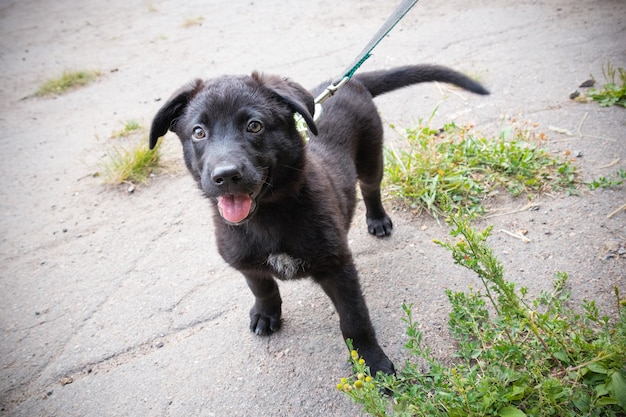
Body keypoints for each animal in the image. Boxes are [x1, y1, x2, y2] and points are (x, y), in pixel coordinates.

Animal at [150, 64, 488, 374]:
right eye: (198, 132)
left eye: (254, 126)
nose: (226, 175)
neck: (268, 216)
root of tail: (350, 82)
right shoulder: (246, 262)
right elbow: (263, 288)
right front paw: (266, 314)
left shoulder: (338, 266)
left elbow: (354, 319)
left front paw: (372, 362)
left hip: (371, 156)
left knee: (370, 188)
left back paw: (377, 219)